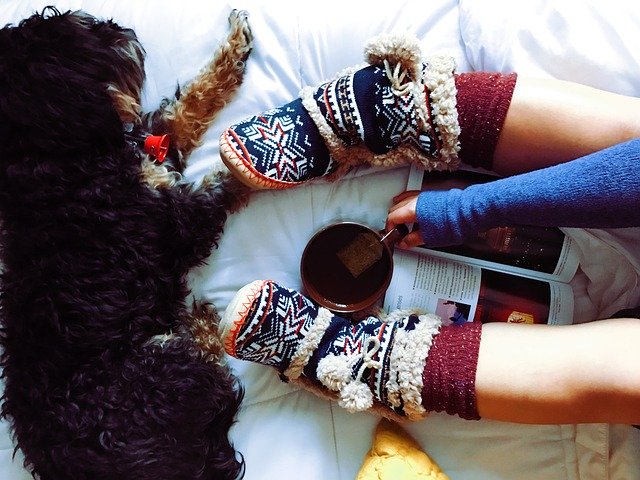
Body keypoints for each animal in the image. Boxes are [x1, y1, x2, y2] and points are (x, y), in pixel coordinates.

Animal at [0, 6, 254, 480]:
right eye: (77, 37)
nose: (120, 31)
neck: (56, 157)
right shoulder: (177, 220)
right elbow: (226, 179)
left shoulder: (156, 147)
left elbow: (191, 104)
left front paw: (236, 43)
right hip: (162, 362)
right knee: (212, 360)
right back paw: (201, 320)